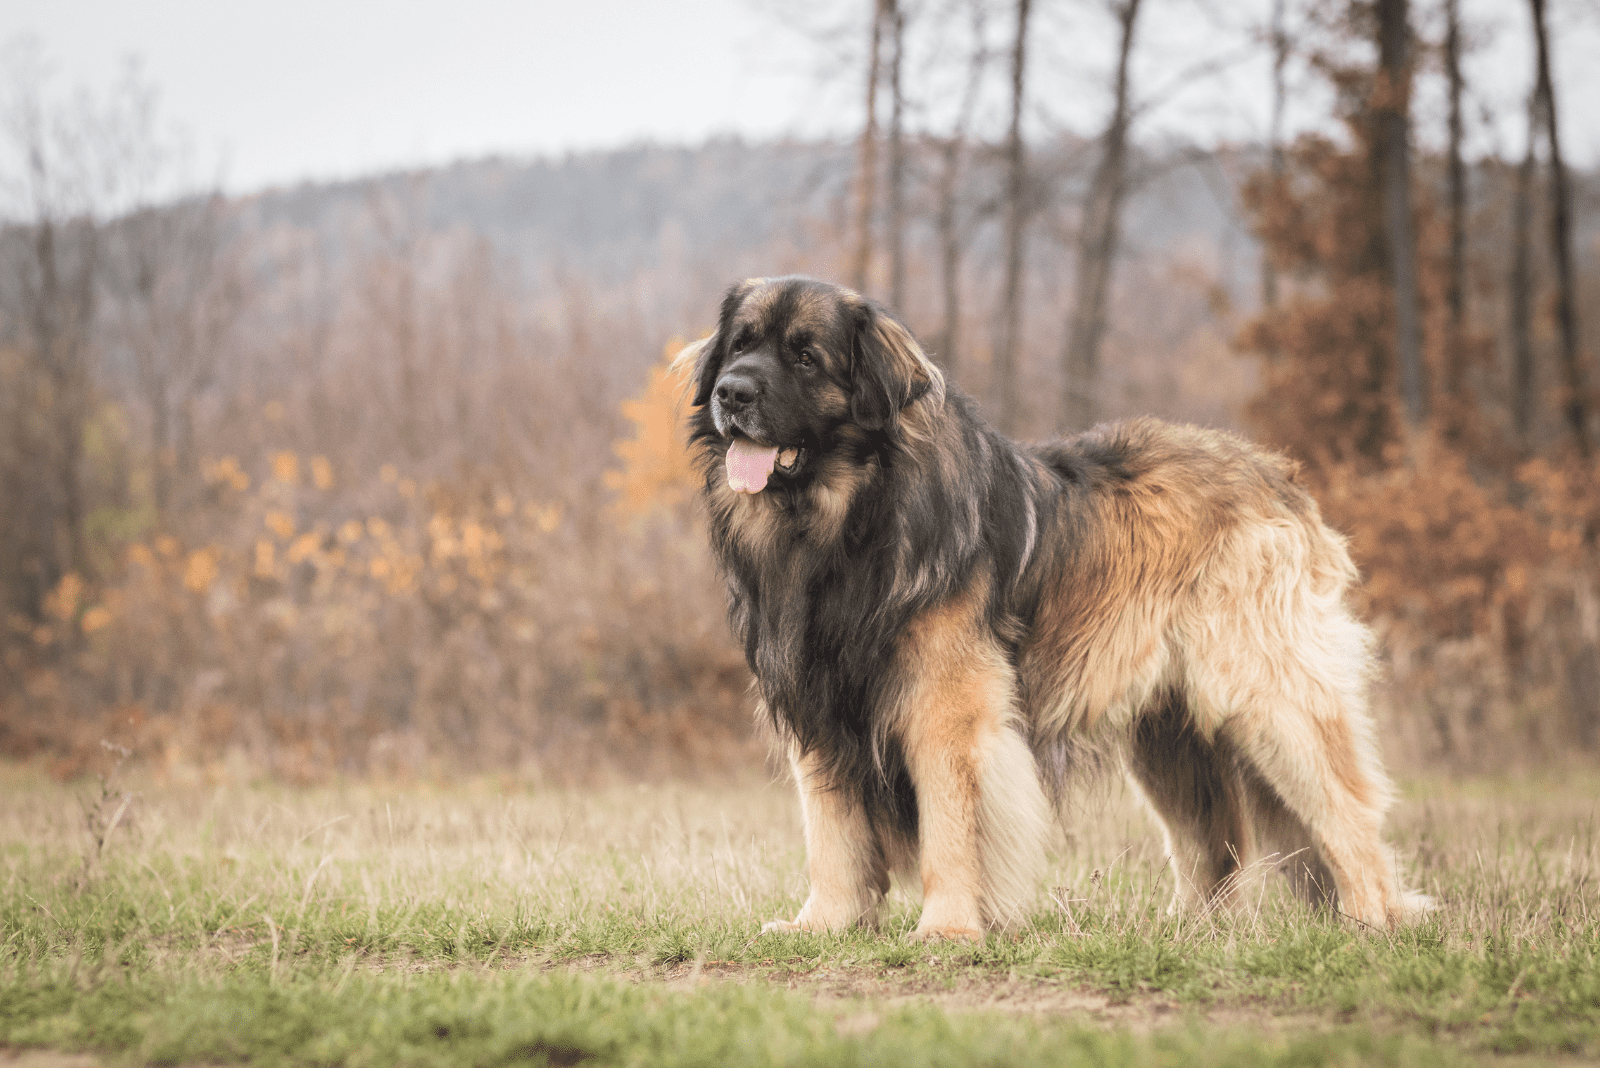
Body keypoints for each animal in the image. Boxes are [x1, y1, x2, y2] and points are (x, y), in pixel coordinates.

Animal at [675, 278, 1427, 940]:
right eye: (740, 344)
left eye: (806, 356)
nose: (731, 392)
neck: (846, 523)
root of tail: (1277, 474)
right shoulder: (819, 709)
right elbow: (832, 834)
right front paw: (822, 925)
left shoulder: (947, 710)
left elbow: (951, 826)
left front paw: (948, 928)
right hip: (1169, 735)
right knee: (1215, 841)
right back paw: (1191, 931)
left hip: (1268, 698)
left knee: (1345, 812)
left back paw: (1370, 921)